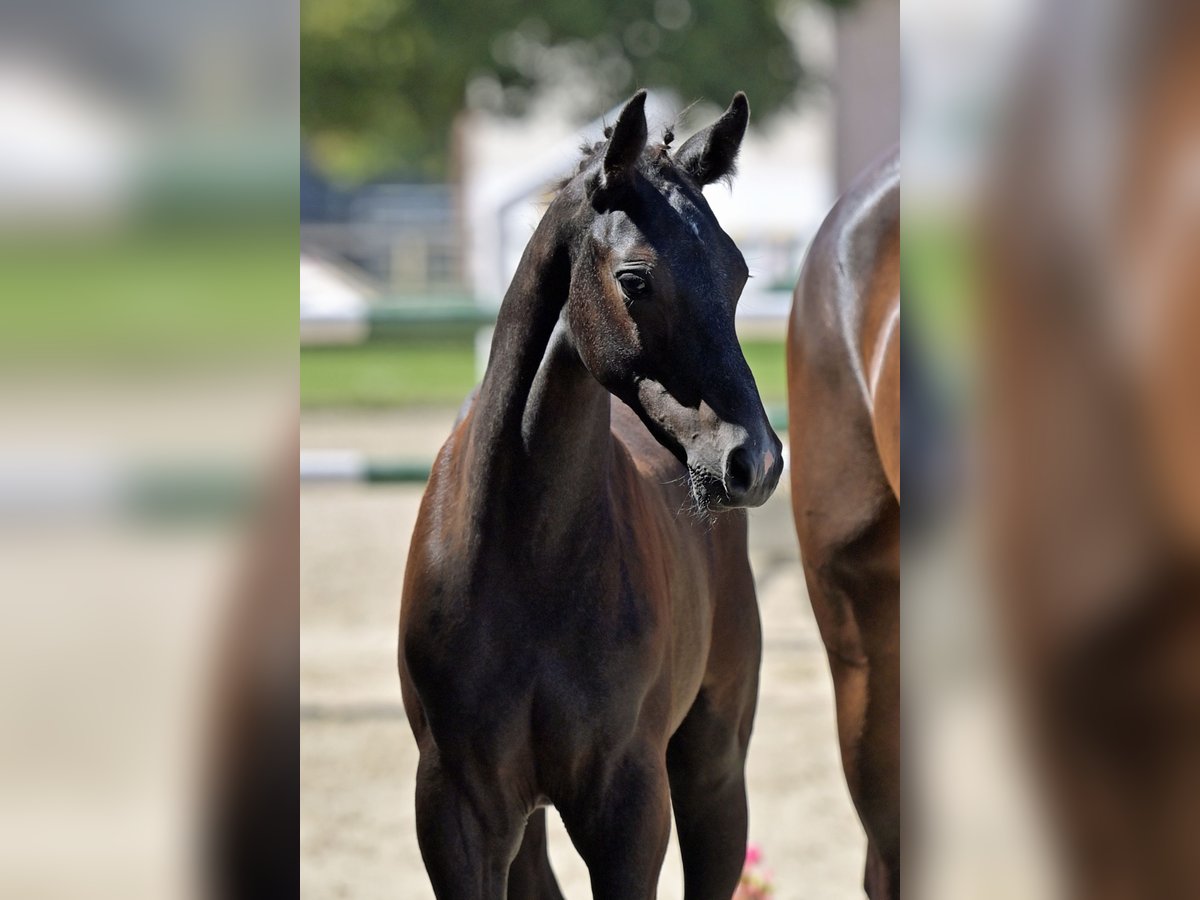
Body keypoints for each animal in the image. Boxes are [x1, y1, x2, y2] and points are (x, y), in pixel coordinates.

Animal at [398, 90, 783, 900]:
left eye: (737, 274)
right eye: (635, 279)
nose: (754, 461)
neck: (528, 559)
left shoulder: (629, 808)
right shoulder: (456, 814)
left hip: (713, 767)